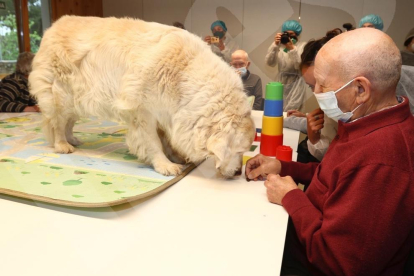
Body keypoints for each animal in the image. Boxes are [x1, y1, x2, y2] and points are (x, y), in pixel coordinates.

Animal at [29, 15, 254, 177]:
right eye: (239, 151)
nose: (237, 173)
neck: (185, 74)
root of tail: (52, 28)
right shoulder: (142, 112)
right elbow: (153, 143)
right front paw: (164, 164)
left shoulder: (166, 112)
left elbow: (166, 139)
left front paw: (175, 156)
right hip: (60, 95)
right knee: (58, 123)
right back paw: (62, 144)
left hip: (77, 98)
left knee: (68, 122)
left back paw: (72, 139)